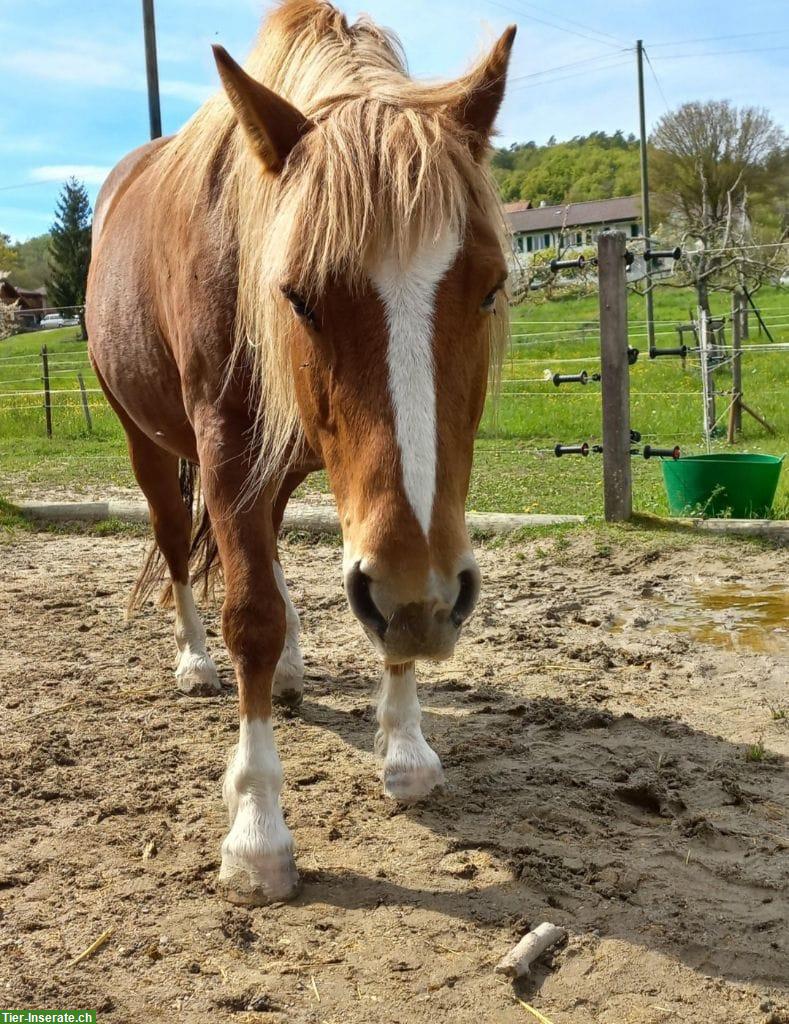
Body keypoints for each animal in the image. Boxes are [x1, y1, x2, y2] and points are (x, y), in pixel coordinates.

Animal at [88, 0, 517, 901]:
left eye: (491, 286)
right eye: (297, 296)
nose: (426, 603)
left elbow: (362, 592)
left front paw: (406, 749)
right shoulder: (228, 450)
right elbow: (247, 613)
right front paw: (257, 832)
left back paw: (290, 667)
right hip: (150, 443)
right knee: (179, 547)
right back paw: (194, 661)